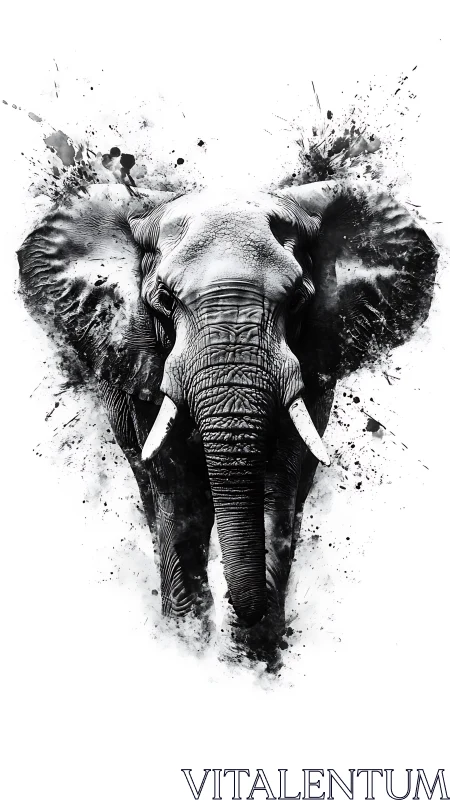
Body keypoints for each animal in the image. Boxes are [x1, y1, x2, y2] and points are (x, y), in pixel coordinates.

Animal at [18, 180, 438, 657]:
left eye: (298, 299)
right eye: (164, 299)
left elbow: (276, 484)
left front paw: (253, 653)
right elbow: (177, 488)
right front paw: (187, 644)